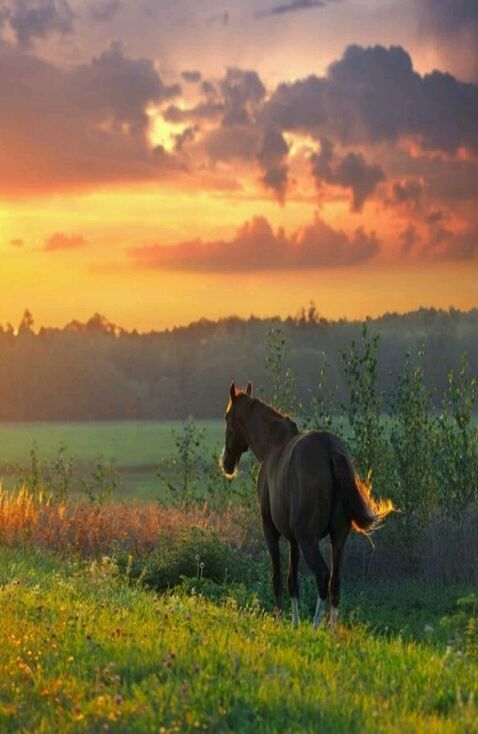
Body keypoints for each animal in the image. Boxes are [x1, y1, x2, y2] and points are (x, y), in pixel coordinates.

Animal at [222, 382, 394, 628]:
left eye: (227, 418)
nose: (225, 463)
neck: (274, 445)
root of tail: (330, 450)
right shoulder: (293, 539)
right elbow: (292, 581)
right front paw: (294, 623)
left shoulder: (272, 531)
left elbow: (277, 576)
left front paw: (280, 619)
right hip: (338, 538)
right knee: (335, 583)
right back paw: (330, 629)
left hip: (308, 539)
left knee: (322, 577)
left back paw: (314, 627)